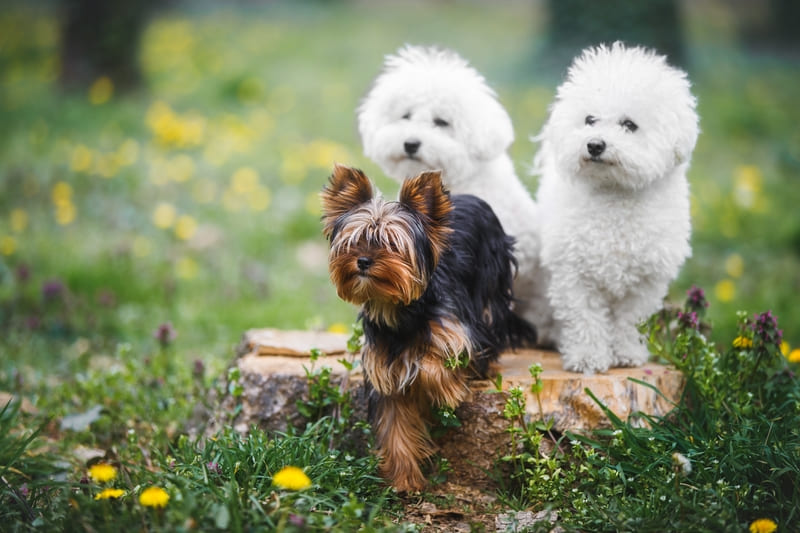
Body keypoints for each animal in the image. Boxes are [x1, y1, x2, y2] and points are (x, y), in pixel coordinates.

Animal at [536, 42, 696, 374]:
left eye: (629, 125)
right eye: (590, 120)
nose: (595, 144)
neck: (615, 198)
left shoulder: (646, 281)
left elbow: (631, 320)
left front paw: (627, 354)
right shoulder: (574, 274)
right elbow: (584, 318)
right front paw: (586, 357)